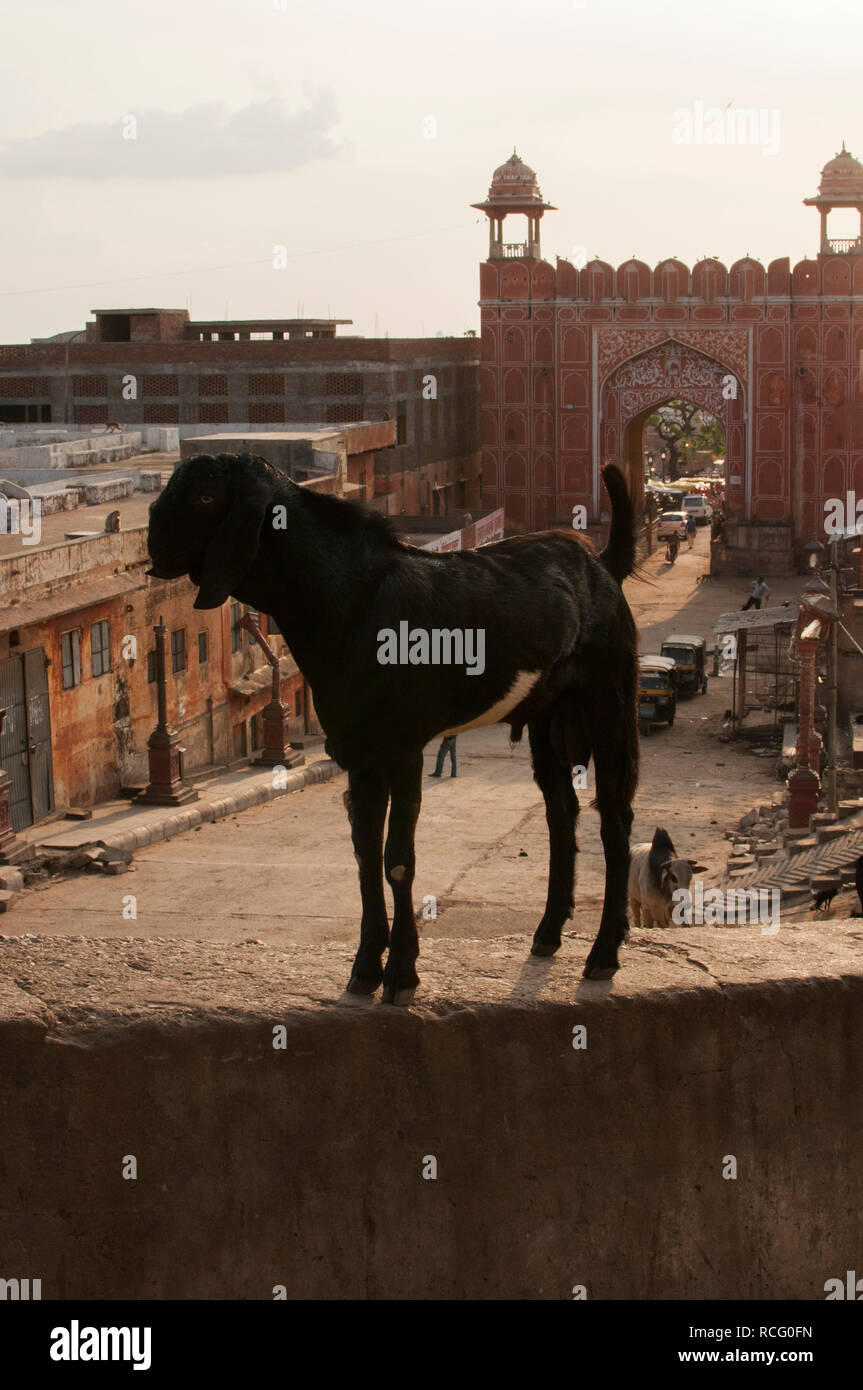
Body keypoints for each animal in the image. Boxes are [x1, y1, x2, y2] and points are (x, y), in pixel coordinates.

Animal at [144, 450, 636, 1006]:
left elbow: (398, 859)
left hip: (610, 699)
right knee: (560, 812)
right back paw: (548, 933)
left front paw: (401, 975)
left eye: (207, 495)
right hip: (547, 718)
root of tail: (602, 565)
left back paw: (603, 954)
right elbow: (364, 853)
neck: (353, 599)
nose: (153, 540)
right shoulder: (358, 752)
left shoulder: (403, 750)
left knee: (615, 818)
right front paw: (363, 969)